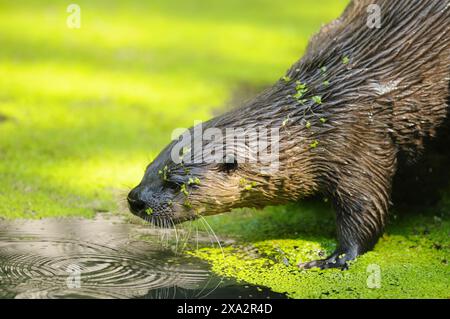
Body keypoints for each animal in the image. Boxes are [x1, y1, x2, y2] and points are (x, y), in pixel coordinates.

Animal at [126, 0, 450, 270]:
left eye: (175, 183)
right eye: (149, 169)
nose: (135, 199)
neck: (323, 113)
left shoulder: (360, 140)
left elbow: (366, 206)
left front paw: (336, 258)